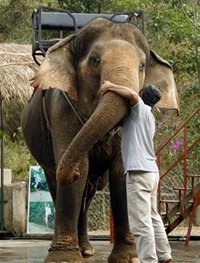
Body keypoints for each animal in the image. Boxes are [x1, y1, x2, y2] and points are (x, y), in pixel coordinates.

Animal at [21, 17, 178, 262]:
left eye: (142, 66)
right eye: (95, 60)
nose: (71, 171)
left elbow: (120, 172)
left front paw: (128, 257)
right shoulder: (62, 108)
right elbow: (80, 172)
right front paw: (63, 259)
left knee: (88, 195)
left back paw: (86, 249)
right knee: (59, 185)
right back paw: (81, 249)